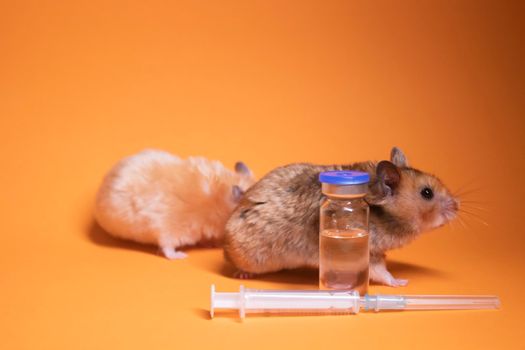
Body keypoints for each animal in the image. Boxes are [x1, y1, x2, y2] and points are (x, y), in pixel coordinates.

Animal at [223, 148, 456, 288]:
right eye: (427, 193)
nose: (457, 206)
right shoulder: (369, 253)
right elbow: (382, 272)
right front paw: (401, 282)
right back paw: (242, 275)